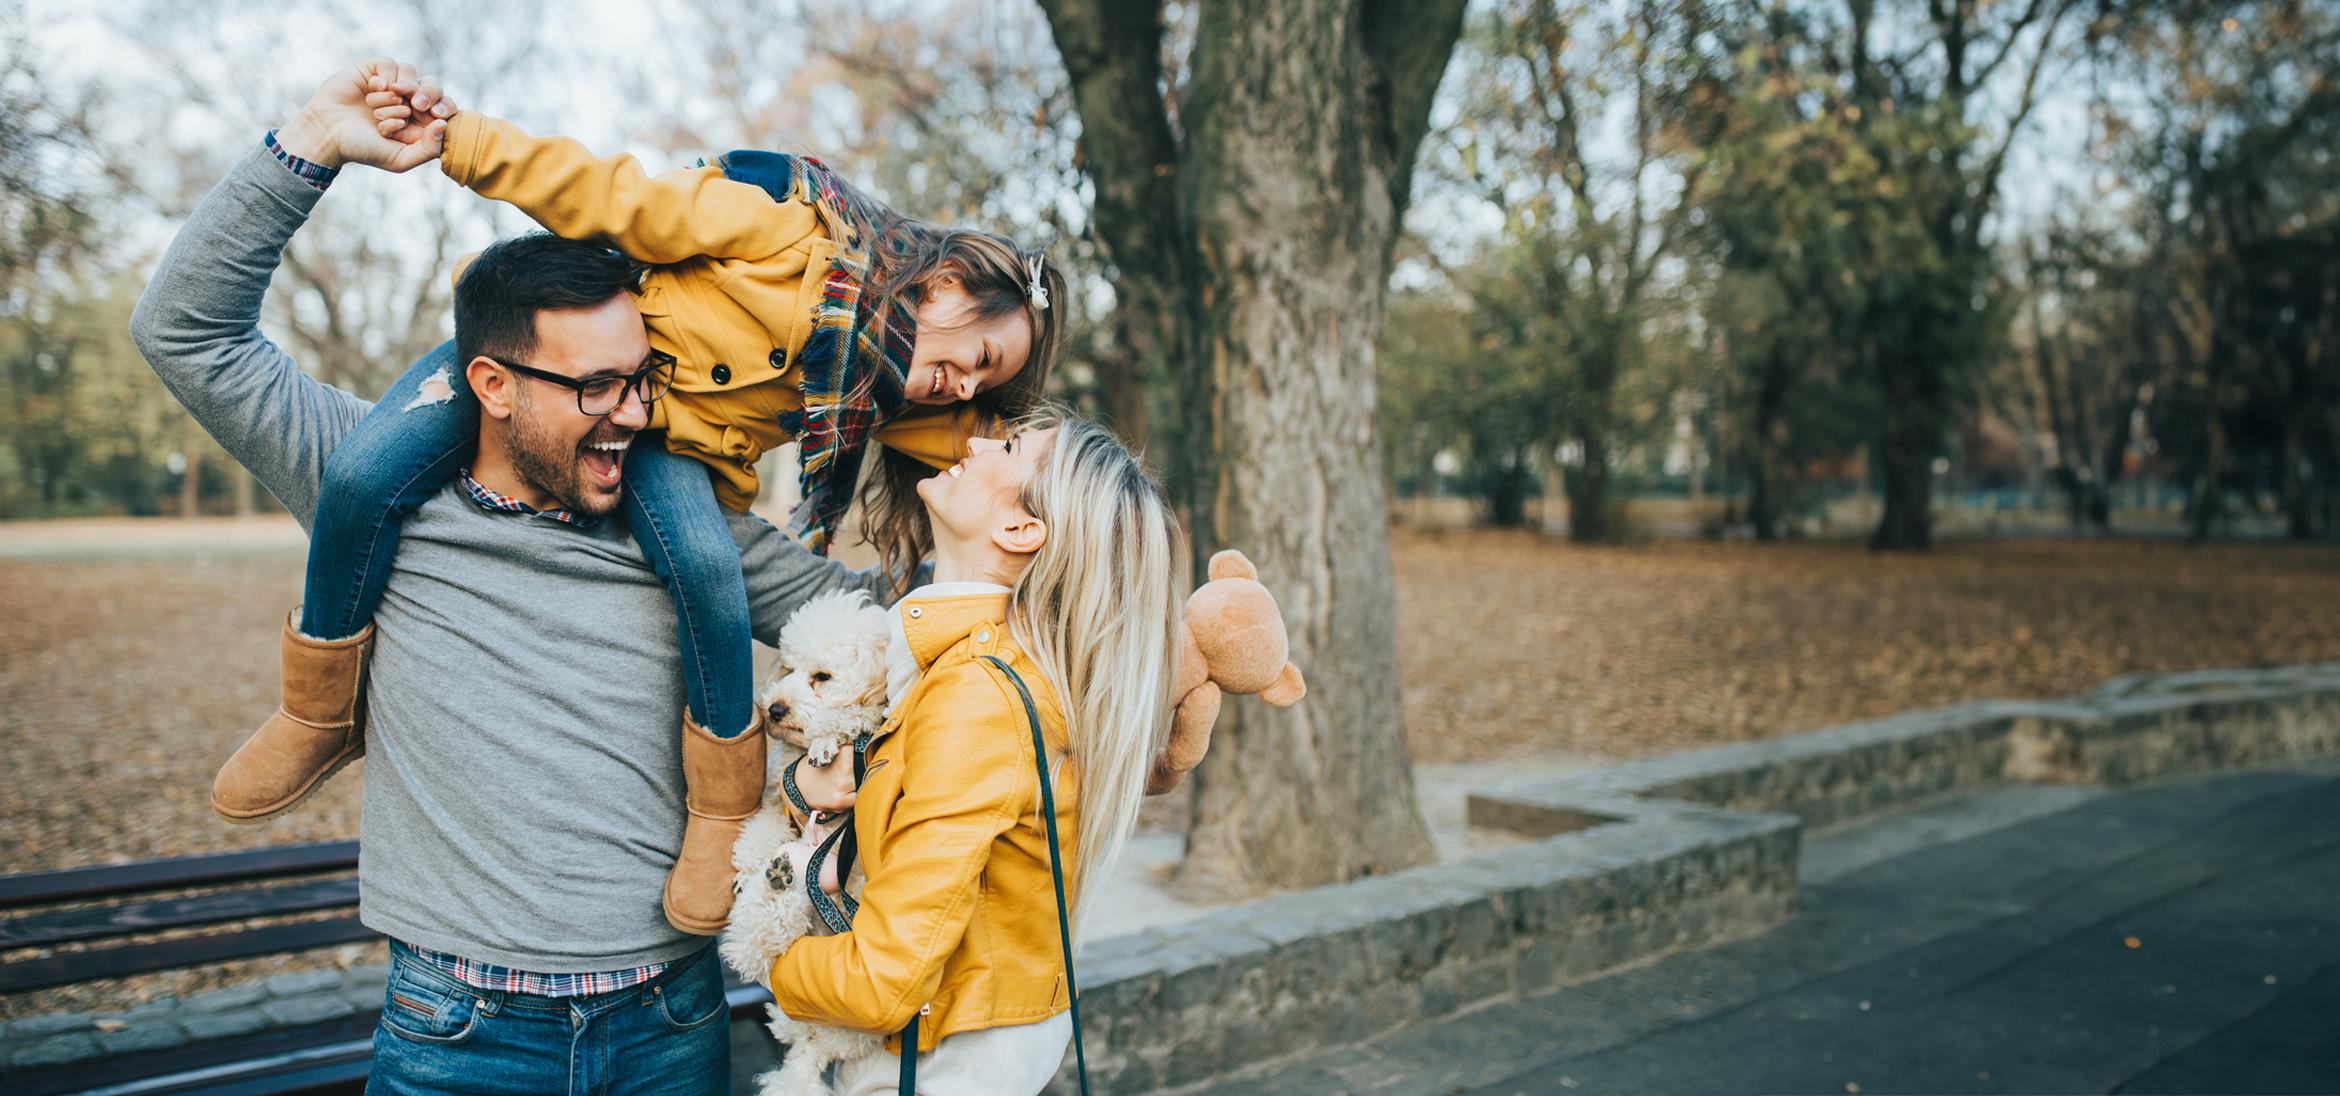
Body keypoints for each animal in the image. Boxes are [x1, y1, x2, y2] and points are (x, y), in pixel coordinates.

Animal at [716, 590, 889, 1096]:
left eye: (822, 677)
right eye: (788, 668)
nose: (773, 709)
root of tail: (813, 1048)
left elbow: (850, 718)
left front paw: (828, 737)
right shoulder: (780, 803)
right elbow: (761, 829)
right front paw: (750, 860)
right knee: (756, 945)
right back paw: (776, 879)